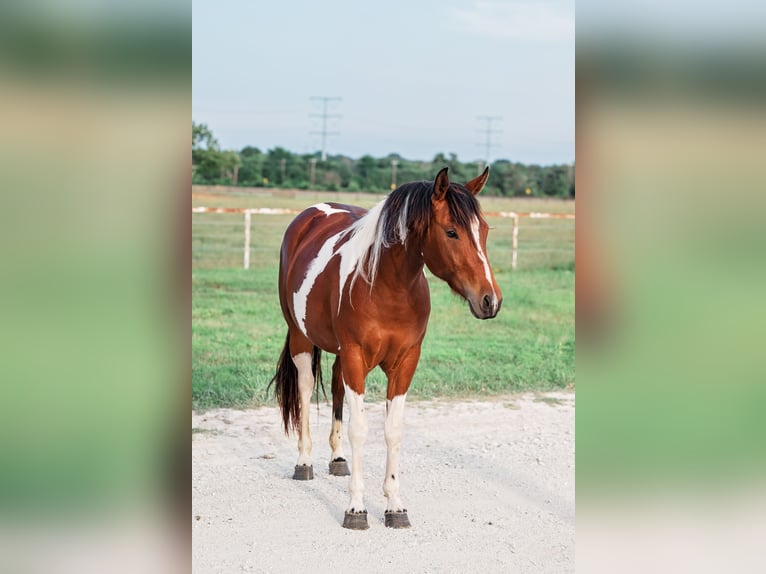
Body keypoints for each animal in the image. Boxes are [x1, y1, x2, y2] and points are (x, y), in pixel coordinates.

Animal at [270, 167, 502, 530]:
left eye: (486, 231)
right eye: (451, 232)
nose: (490, 300)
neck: (386, 286)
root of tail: (309, 216)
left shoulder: (405, 362)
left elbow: (392, 431)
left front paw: (395, 505)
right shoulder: (354, 356)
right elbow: (360, 430)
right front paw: (356, 508)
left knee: (335, 387)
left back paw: (337, 459)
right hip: (300, 337)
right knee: (306, 390)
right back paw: (304, 461)